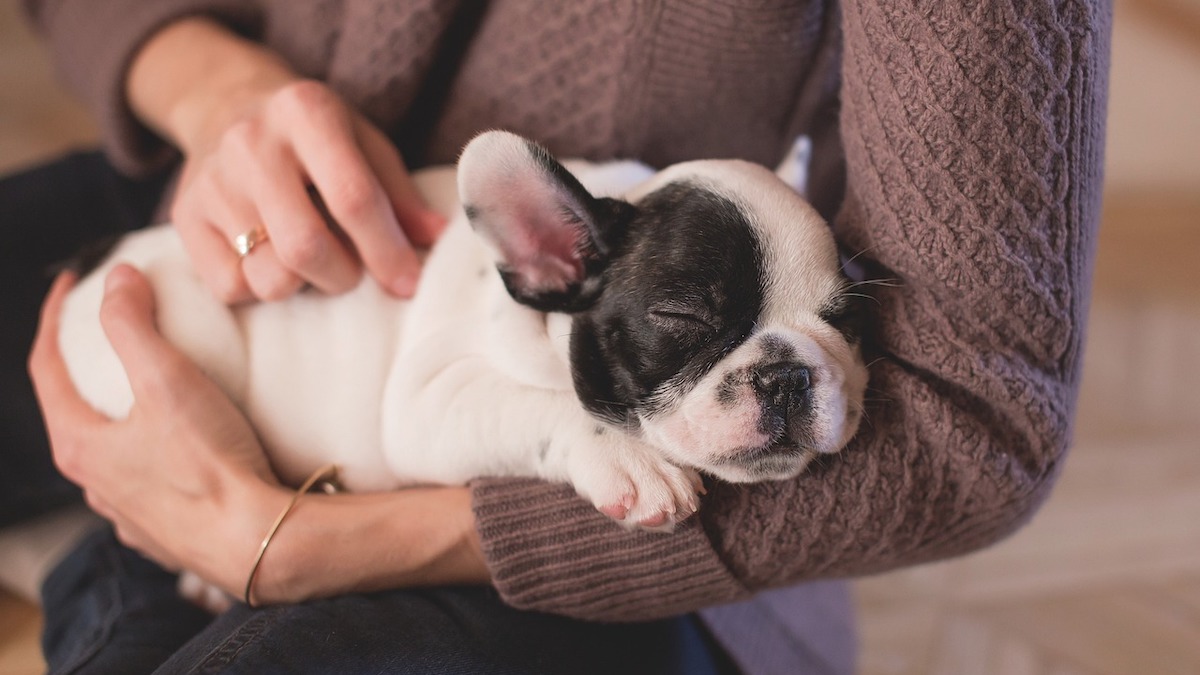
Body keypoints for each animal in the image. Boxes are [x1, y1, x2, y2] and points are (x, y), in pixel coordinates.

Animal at [56, 130, 868, 540]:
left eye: (844, 319)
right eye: (685, 317)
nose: (788, 373)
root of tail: (93, 262)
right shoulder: (427, 401)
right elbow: (545, 406)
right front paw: (631, 461)